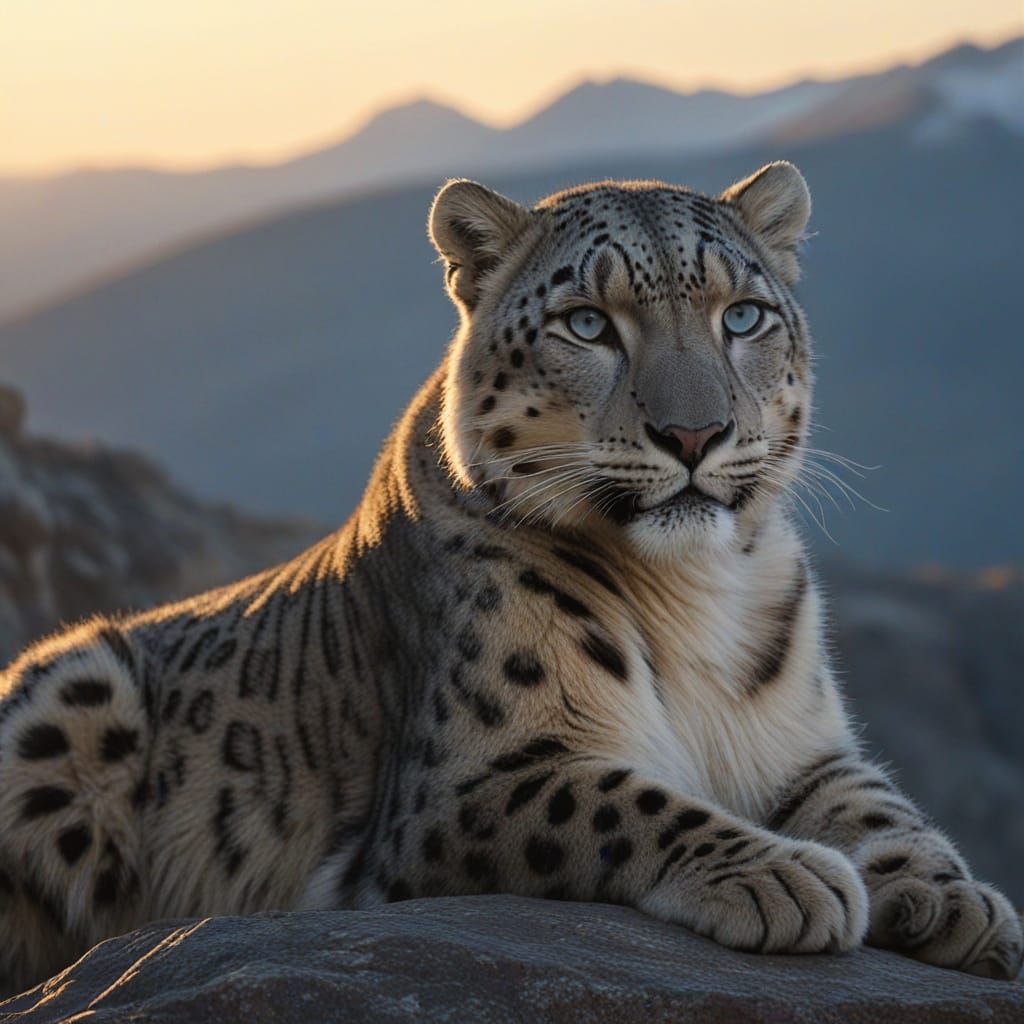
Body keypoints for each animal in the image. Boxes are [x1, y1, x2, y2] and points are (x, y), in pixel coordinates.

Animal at [1, 161, 1020, 996]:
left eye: (742, 315)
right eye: (588, 323)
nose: (694, 435)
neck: (692, 593)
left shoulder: (805, 745)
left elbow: (884, 805)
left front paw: (964, 902)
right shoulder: (468, 785)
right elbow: (621, 802)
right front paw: (785, 874)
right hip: (78, 687)